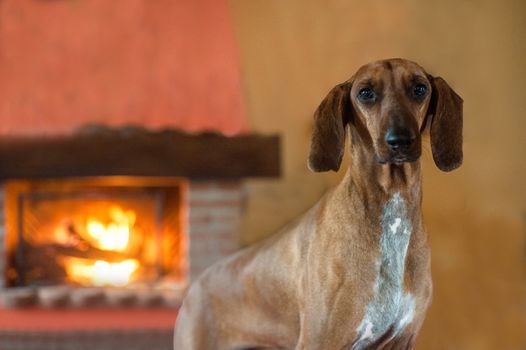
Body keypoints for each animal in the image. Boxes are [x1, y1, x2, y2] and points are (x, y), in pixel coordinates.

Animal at [173, 58, 462, 350]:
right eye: (365, 93)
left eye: (420, 88)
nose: (400, 141)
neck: (391, 205)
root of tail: (195, 286)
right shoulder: (320, 340)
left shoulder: (401, 340)